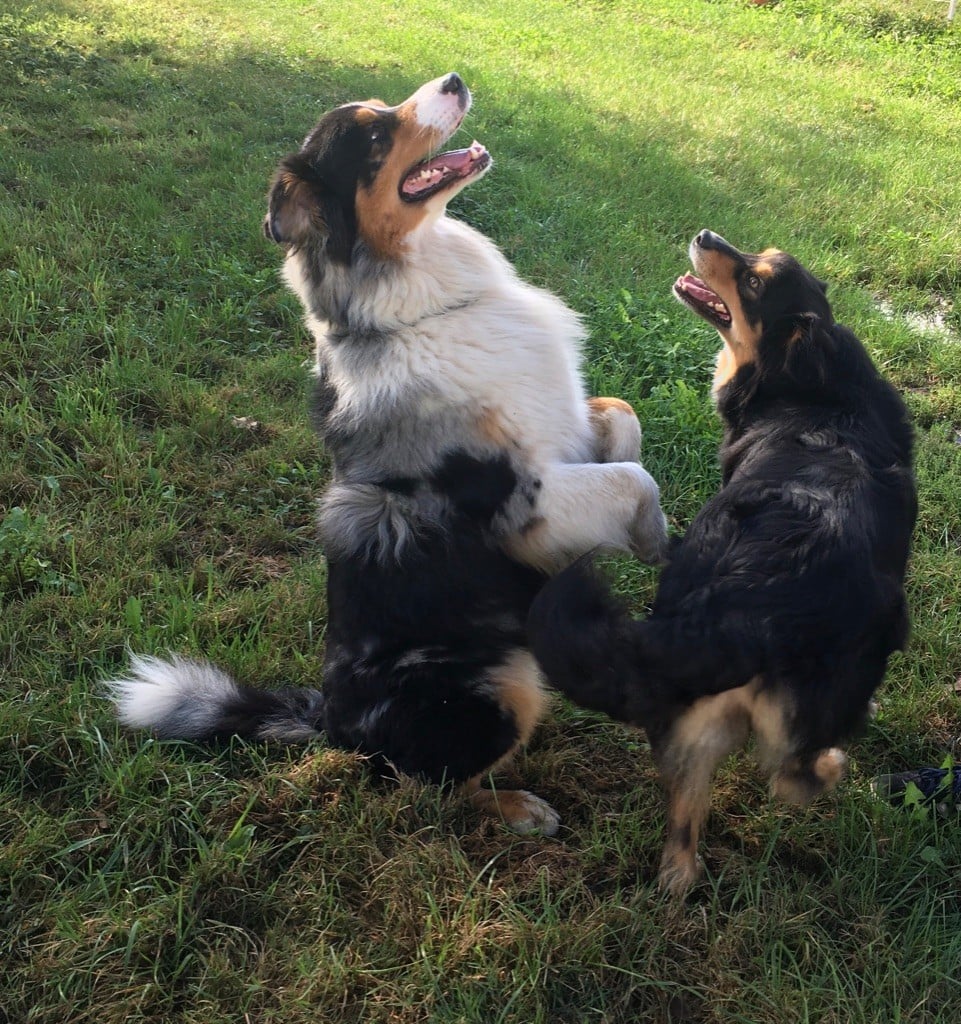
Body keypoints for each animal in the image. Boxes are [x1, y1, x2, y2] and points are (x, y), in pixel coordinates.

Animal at [532, 230, 913, 888]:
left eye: (756, 281)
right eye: (757, 262)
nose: (706, 236)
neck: (814, 388)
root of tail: (746, 603)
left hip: (695, 713)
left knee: (683, 833)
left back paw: (678, 884)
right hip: (830, 680)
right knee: (793, 776)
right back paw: (835, 763)